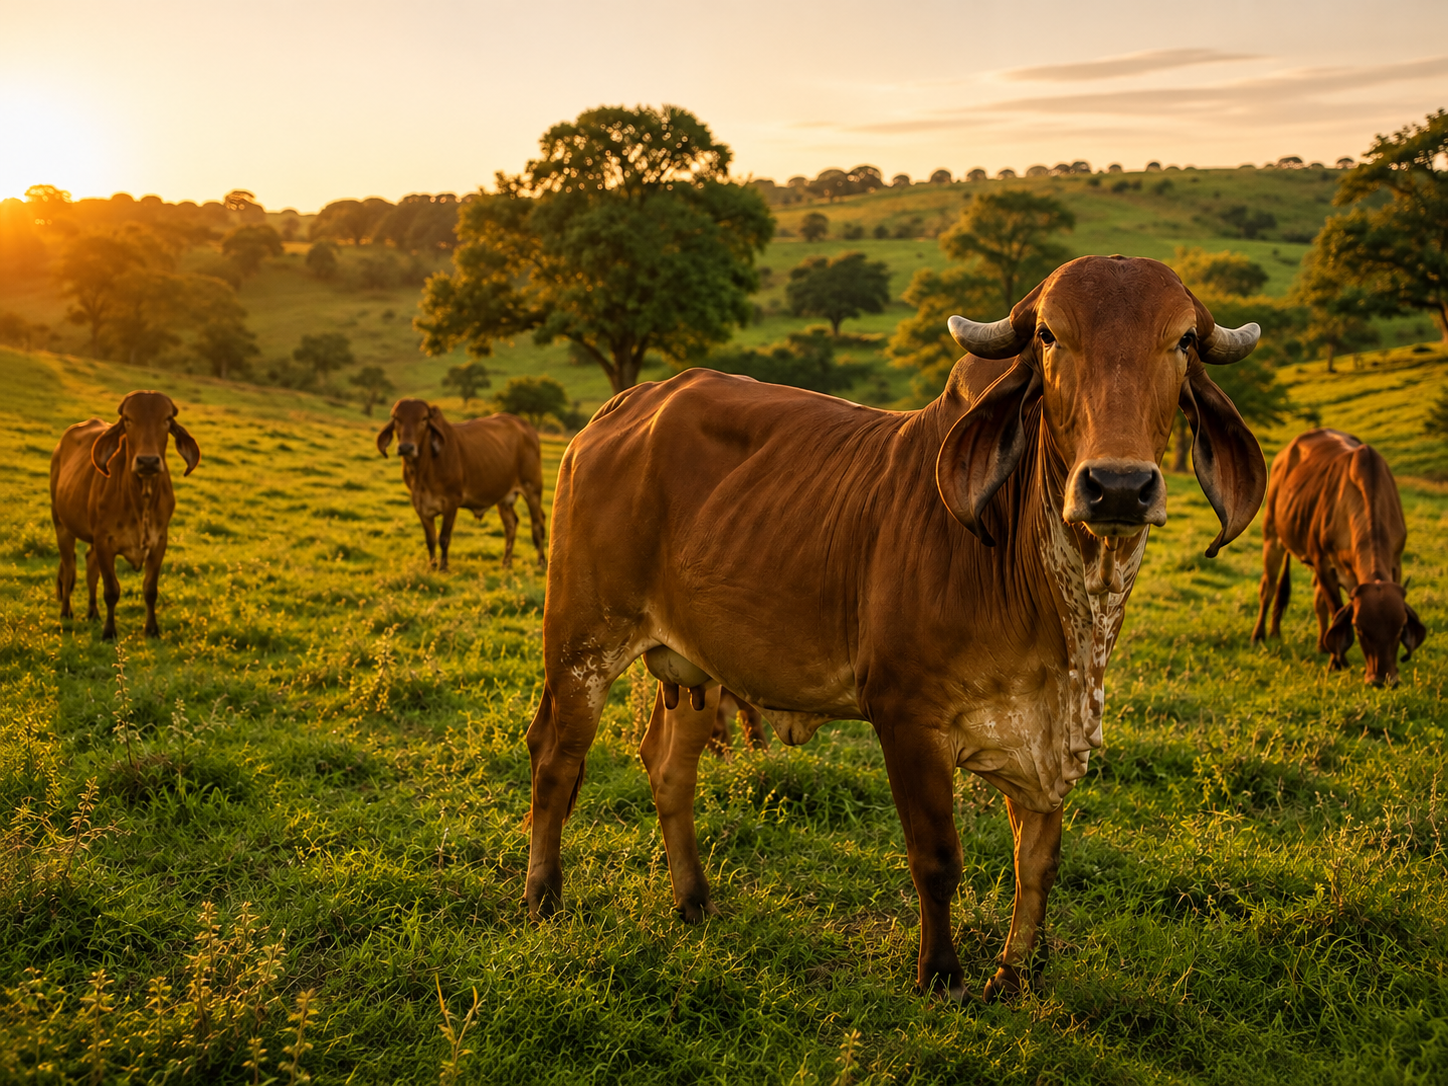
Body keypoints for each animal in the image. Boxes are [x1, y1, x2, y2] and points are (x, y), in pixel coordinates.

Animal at [50, 390, 201, 640]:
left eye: (167, 419)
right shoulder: (104, 541)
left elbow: (150, 590)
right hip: (61, 524)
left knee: (90, 566)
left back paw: (93, 613)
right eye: (128, 419)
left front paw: (151, 629)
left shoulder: (159, 542)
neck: (141, 501)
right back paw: (65, 612)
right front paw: (109, 632)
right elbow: (111, 590)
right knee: (69, 570)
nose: (148, 461)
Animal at [376, 399, 546, 571]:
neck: (423, 469)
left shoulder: (451, 503)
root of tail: (526, 426)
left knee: (538, 524)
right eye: (397, 418)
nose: (406, 447)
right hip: (504, 498)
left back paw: (541, 562)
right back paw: (506, 563)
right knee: (511, 524)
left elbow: (444, 538)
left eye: (424, 419)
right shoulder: (420, 506)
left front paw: (443, 567)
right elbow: (430, 539)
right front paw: (432, 566)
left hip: (533, 489)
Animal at [524, 255, 1267, 1002]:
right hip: (580, 641)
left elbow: (1038, 862)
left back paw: (694, 900)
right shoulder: (907, 716)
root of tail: (625, 406)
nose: (1117, 486)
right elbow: (936, 857)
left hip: (696, 667)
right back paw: (542, 898)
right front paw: (941, 974)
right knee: (557, 758)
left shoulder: (1050, 737)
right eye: (1050, 335)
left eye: (1183, 342)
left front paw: (1015, 974)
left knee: (669, 768)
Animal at [1251, 428, 1425, 685]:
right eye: (1359, 627)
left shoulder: (1396, 563)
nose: (1382, 679)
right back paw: (1261, 635)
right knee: (1268, 588)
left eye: (1401, 625)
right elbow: (1336, 609)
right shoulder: (1323, 564)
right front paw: (1337, 662)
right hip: (1272, 535)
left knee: (1315, 600)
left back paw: (1319, 645)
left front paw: (1332, 653)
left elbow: (1326, 606)